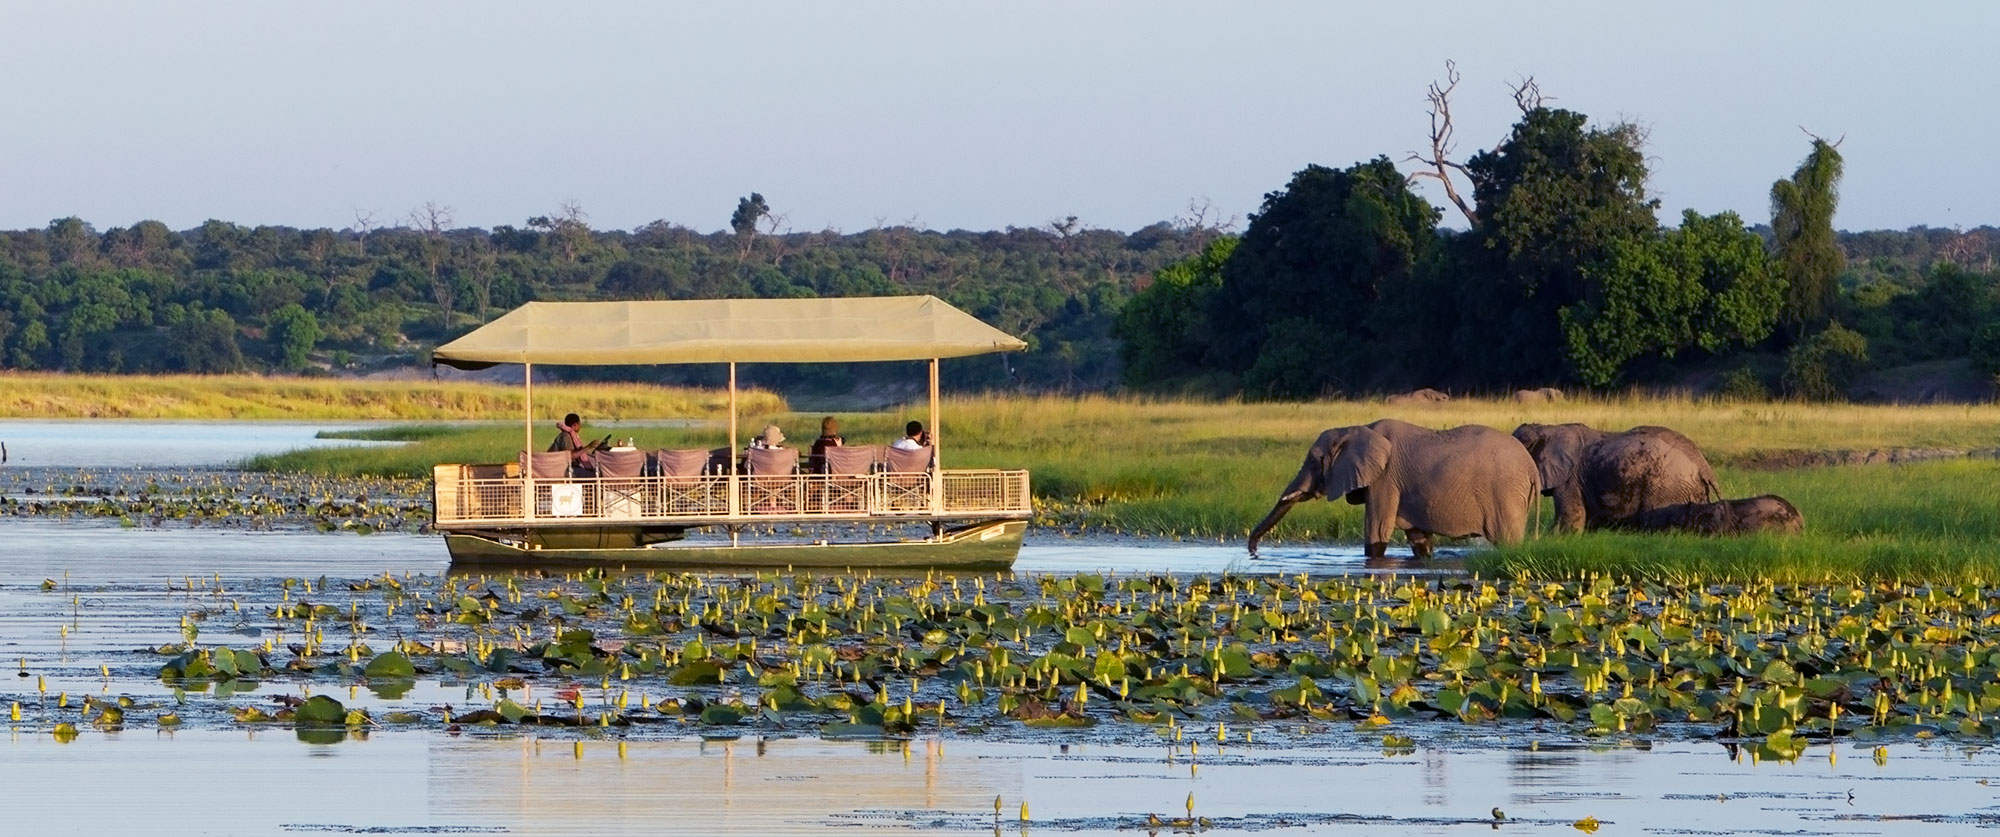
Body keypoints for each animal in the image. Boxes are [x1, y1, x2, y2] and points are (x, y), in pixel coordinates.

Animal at [1240, 416, 1536, 560]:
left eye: (1316, 460)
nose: (1253, 551)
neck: (1358, 428)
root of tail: (1531, 466)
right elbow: (1418, 538)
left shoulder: (1385, 479)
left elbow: (1377, 529)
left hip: (1505, 494)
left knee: (1508, 540)